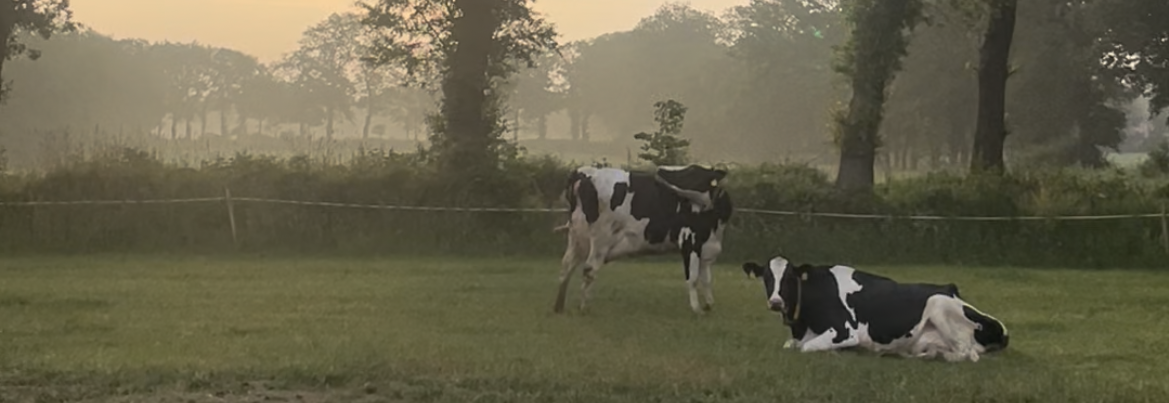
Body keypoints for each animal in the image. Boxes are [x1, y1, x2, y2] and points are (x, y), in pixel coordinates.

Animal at [553, 164, 733, 315]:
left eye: (690, 174)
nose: (660, 173)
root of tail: (586, 173)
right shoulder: (690, 242)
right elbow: (693, 278)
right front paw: (696, 309)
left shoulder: (706, 247)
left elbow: (706, 279)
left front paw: (709, 304)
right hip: (600, 241)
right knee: (589, 269)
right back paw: (583, 308)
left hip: (578, 239)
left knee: (566, 267)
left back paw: (559, 307)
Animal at [740, 255, 1009, 362]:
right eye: (766, 278)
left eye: (788, 278)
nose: (776, 302)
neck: (802, 324)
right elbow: (790, 345)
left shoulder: (844, 331)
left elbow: (806, 348)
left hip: (938, 303)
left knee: (967, 354)